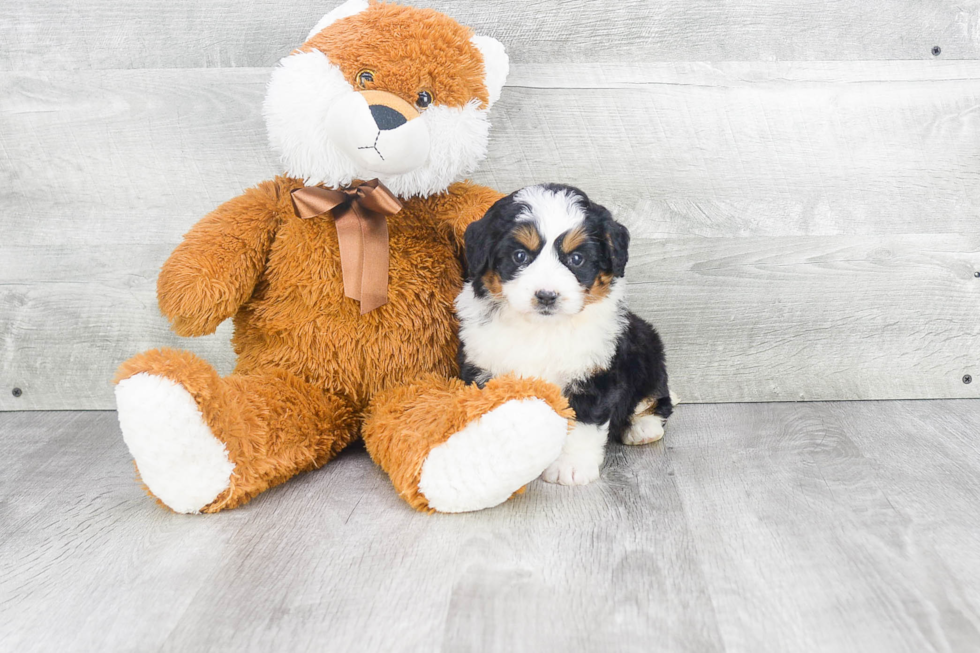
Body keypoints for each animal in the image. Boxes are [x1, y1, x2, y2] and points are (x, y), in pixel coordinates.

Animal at [456, 183, 668, 484]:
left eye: (576, 259)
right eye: (520, 256)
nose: (547, 295)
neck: (542, 329)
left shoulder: (594, 372)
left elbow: (581, 421)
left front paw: (571, 467)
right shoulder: (485, 368)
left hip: (647, 348)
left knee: (657, 398)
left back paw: (643, 428)